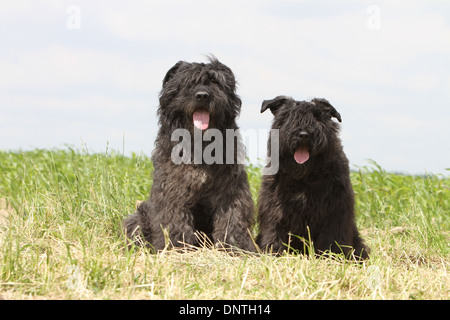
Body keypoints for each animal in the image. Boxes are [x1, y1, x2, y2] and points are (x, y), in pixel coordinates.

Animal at [122, 57, 256, 252]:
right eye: (188, 82)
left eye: (214, 81)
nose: (202, 95)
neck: (199, 146)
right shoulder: (173, 189)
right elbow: (174, 219)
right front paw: (177, 247)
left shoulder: (230, 189)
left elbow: (232, 218)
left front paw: (235, 247)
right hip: (140, 214)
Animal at [256, 95, 370, 260]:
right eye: (288, 115)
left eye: (317, 116)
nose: (303, 134)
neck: (304, 178)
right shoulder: (274, 206)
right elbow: (274, 229)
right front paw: (273, 251)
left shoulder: (336, 209)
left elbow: (334, 236)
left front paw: (332, 256)